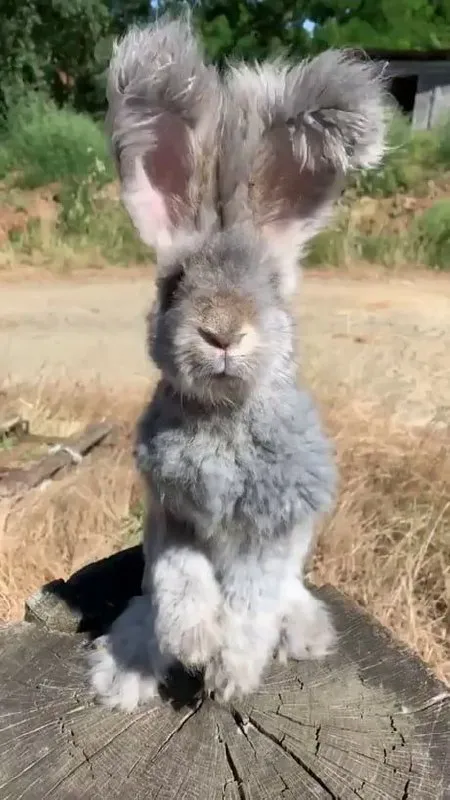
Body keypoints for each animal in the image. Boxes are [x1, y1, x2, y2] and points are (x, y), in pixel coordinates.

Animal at [88, 15, 388, 710]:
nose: (221, 333)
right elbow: (182, 581)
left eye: (272, 287)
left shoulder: (272, 531)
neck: (223, 416)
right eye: (174, 284)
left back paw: (302, 635)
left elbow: (251, 601)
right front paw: (195, 643)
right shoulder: (172, 517)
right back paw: (125, 670)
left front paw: (229, 675)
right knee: (147, 601)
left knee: (286, 598)